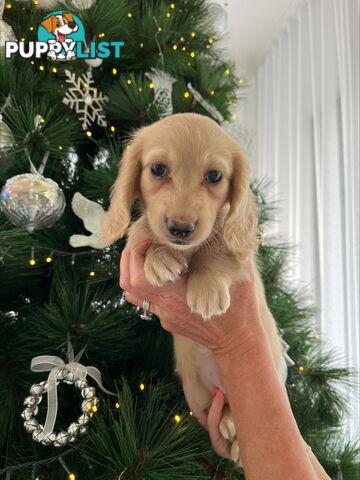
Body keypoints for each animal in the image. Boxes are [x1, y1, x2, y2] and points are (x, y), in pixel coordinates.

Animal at [99, 112, 284, 464]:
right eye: (158, 169)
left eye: (214, 176)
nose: (180, 229)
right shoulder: (144, 229)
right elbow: (142, 229)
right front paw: (160, 257)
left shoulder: (236, 250)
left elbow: (216, 247)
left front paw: (206, 288)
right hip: (198, 393)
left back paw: (235, 438)